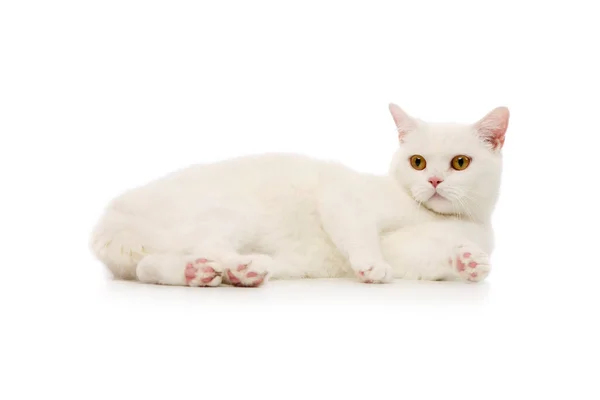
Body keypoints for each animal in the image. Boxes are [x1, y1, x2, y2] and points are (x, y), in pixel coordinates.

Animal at [91, 103, 508, 284]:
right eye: (418, 162)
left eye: (459, 163)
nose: (434, 181)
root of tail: (112, 217)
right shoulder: (344, 198)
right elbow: (362, 235)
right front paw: (370, 265)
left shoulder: (410, 256)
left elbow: (433, 260)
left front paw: (468, 262)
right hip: (232, 213)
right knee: (207, 244)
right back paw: (241, 267)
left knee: (149, 267)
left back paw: (205, 273)